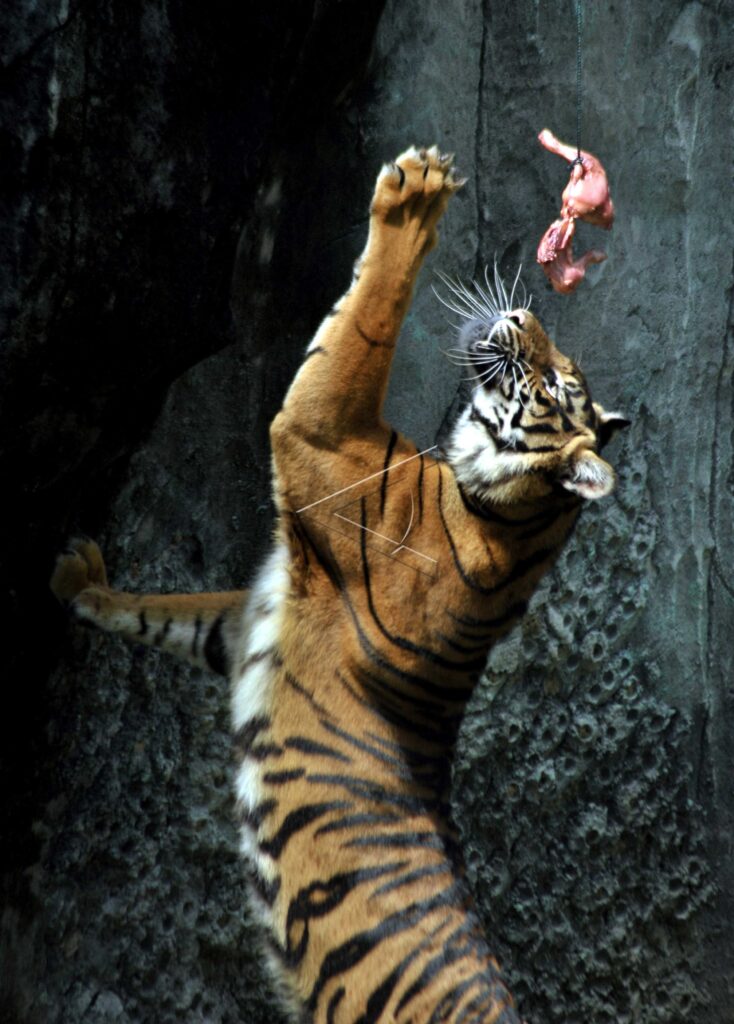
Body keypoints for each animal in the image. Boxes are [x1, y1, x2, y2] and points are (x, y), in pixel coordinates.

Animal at [51, 146, 628, 1024]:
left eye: (556, 382)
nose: (527, 315)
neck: (507, 505)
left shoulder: (322, 432)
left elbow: (359, 324)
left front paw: (416, 194)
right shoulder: (252, 614)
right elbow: (165, 614)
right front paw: (82, 580)